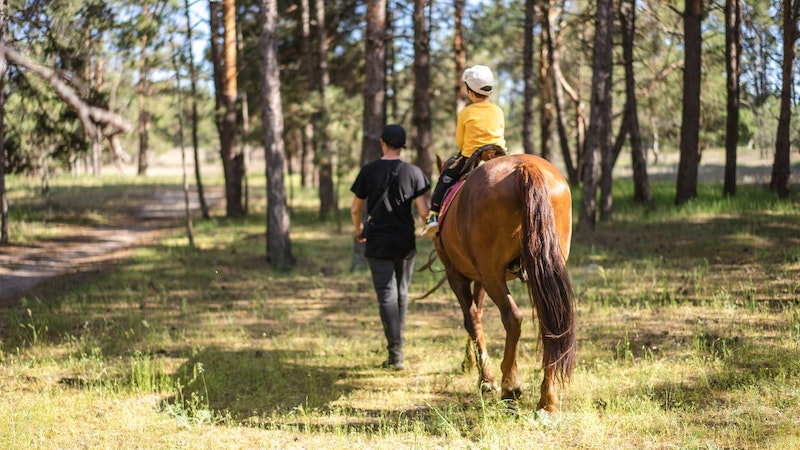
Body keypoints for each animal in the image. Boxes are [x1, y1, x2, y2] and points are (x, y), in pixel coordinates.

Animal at [434, 154, 580, 412]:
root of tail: (525, 167)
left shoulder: (457, 275)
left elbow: (471, 319)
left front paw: (485, 379)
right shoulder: (479, 278)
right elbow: (478, 315)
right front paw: (472, 363)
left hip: (492, 274)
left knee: (512, 317)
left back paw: (510, 385)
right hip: (544, 267)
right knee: (551, 322)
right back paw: (547, 401)